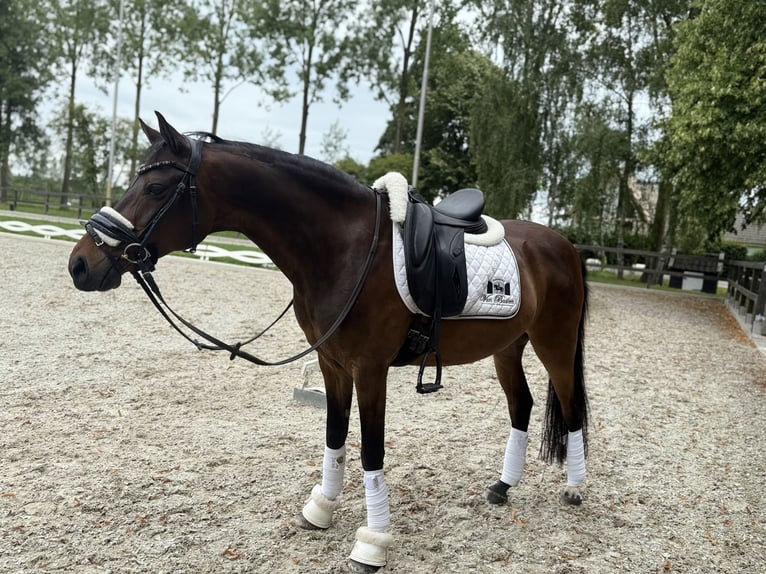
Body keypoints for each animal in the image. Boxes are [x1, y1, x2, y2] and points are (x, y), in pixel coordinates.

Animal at [68, 112, 589, 570]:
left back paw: (575, 489)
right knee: (521, 406)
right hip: (508, 347)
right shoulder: (332, 363)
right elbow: (335, 436)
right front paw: (320, 509)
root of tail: (564, 245)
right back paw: (503, 487)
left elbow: (371, 450)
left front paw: (372, 542)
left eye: (156, 188)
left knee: (571, 407)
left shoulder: (370, 369)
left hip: (555, 344)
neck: (344, 248)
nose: (80, 263)